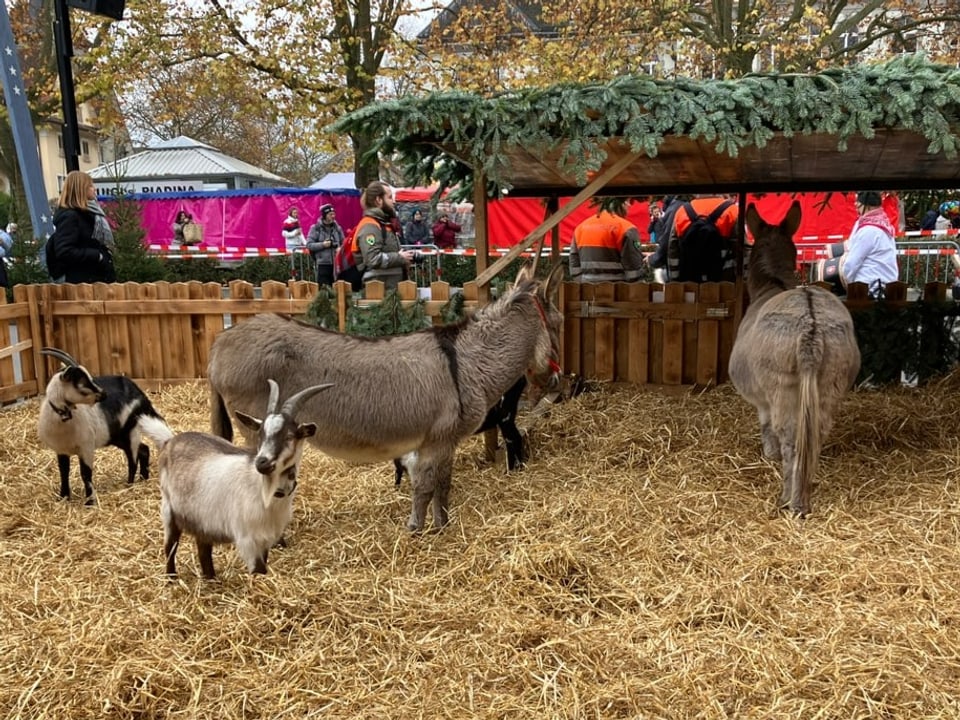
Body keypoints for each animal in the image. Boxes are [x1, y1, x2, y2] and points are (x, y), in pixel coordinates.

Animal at [37, 348, 173, 506]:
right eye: (82, 382)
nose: (103, 394)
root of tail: (139, 394)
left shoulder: (86, 447)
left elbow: (85, 473)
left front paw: (90, 502)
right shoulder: (61, 450)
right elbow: (64, 472)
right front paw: (63, 497)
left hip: (130, 431)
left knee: (133, 458)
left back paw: (129, 484)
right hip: (117, 436)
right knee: (143, 449)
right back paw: (143, 478)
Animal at [159, 376, 332, 580]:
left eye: (289, 436)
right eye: (261, 434)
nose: (262, 462)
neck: (263, 491)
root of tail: (172, 441)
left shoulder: (266, 538)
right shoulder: (247, 539)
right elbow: (259, 569)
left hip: (202, 517)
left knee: (203, 547)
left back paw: (211, 579)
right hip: (169, 509)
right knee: (171, 546)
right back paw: (171, 578)